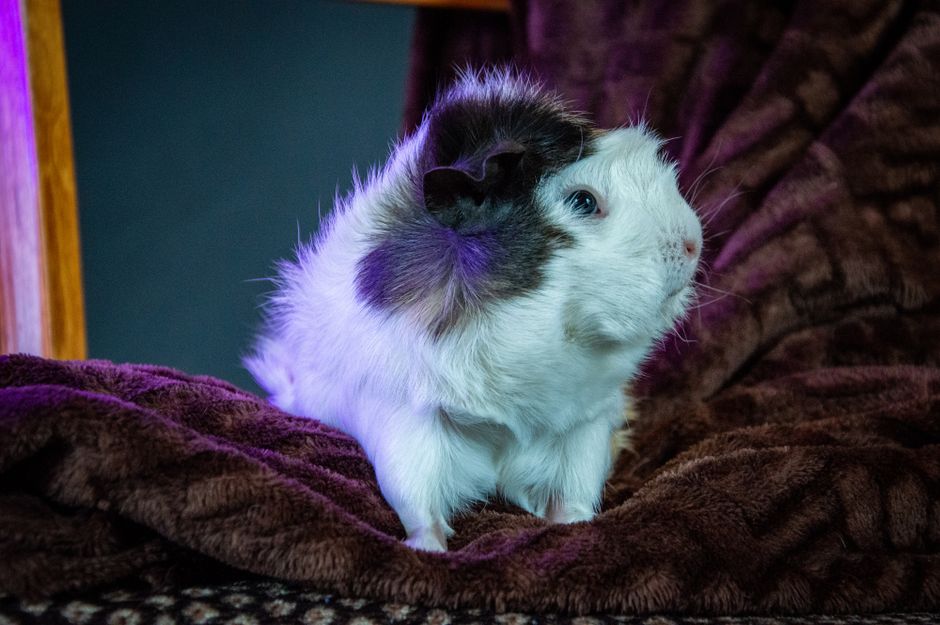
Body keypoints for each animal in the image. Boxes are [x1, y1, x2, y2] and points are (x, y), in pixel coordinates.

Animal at [245, 69, 702, 552]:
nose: (693, 242)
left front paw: (573, 527)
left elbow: (575, 493)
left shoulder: (583, 429)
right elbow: (414, 498)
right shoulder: (407, 422)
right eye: (583, 201)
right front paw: (430, 547)